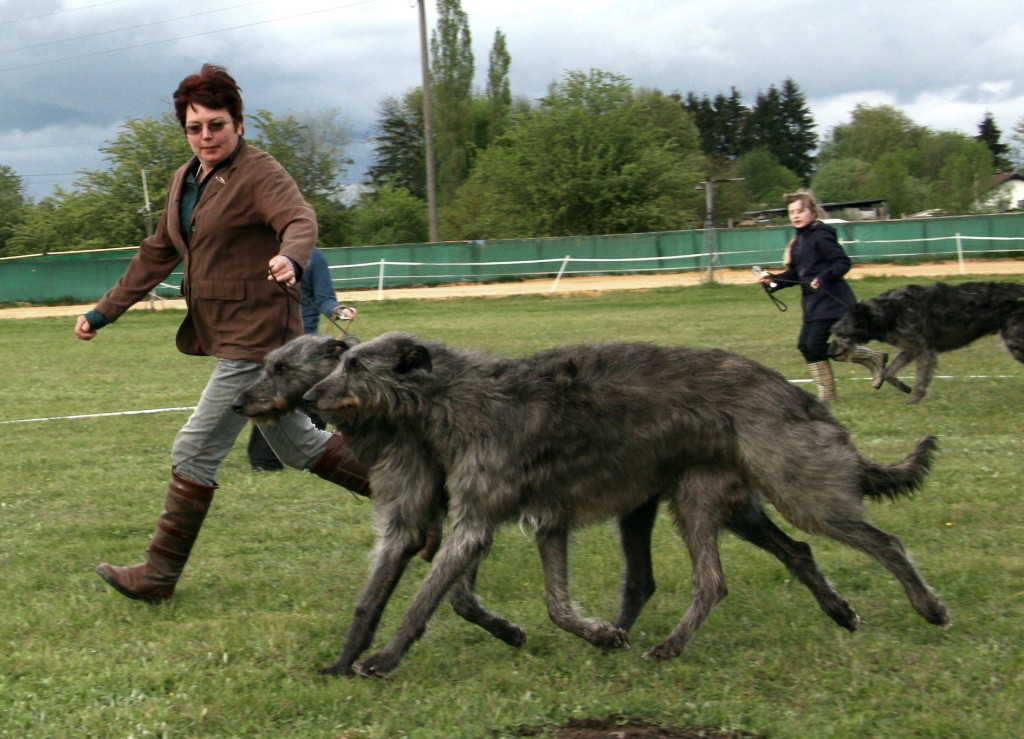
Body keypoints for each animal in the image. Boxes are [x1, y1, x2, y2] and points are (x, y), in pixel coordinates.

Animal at [303, 331, 950, 675]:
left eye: (354, 365)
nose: (308, 396)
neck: (456, 397)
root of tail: (795, 393)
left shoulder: (476, 521)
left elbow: (424, 599)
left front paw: (383, 659)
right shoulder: (548, 521)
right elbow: (554, 605)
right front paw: (600, 634)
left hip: (790, 488)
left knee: (868, 543)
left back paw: (929, 607)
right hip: (725, 499)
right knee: (796, 551)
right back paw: (839, 611)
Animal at [827, 278, 1024, 403]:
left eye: (841, 334)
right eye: (833, 332)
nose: (829, 353)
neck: (888, 311)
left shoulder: (924, 349)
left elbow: (921, 377)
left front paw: (916, 399)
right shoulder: (910, 348)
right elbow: (888, 372)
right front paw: (904, 387)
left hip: (1015, 342)